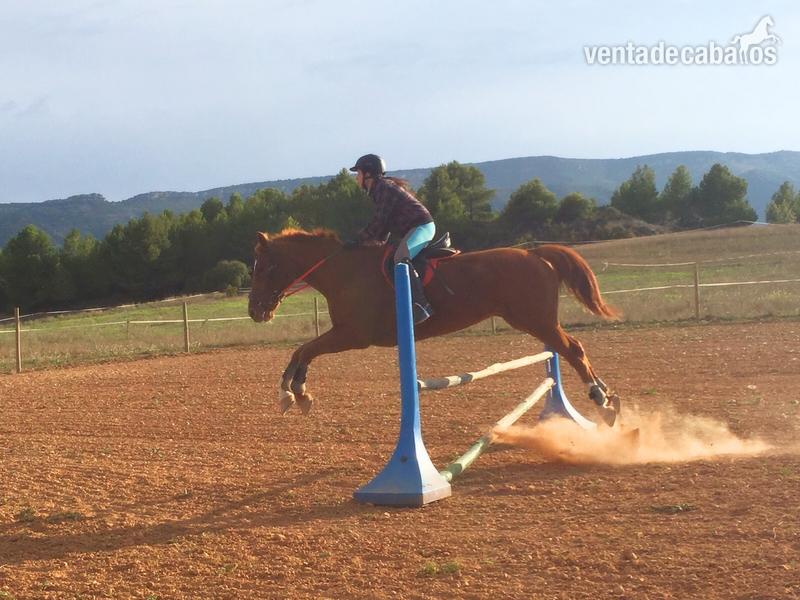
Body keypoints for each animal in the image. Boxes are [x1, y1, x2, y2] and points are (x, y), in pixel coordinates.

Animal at [248, 229, 623, 426]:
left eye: (262, 268)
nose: (254, 311)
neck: (344, 272)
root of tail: (536, 254)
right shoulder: (344, 333)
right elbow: (302, 352)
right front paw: (296, 392)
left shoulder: (353, 335)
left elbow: (305, 350)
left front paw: (291, 391)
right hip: (538, 322)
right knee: (573, 348)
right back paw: (607, 396)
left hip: (537, 321)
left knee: (572, 349)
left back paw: (601, 400)